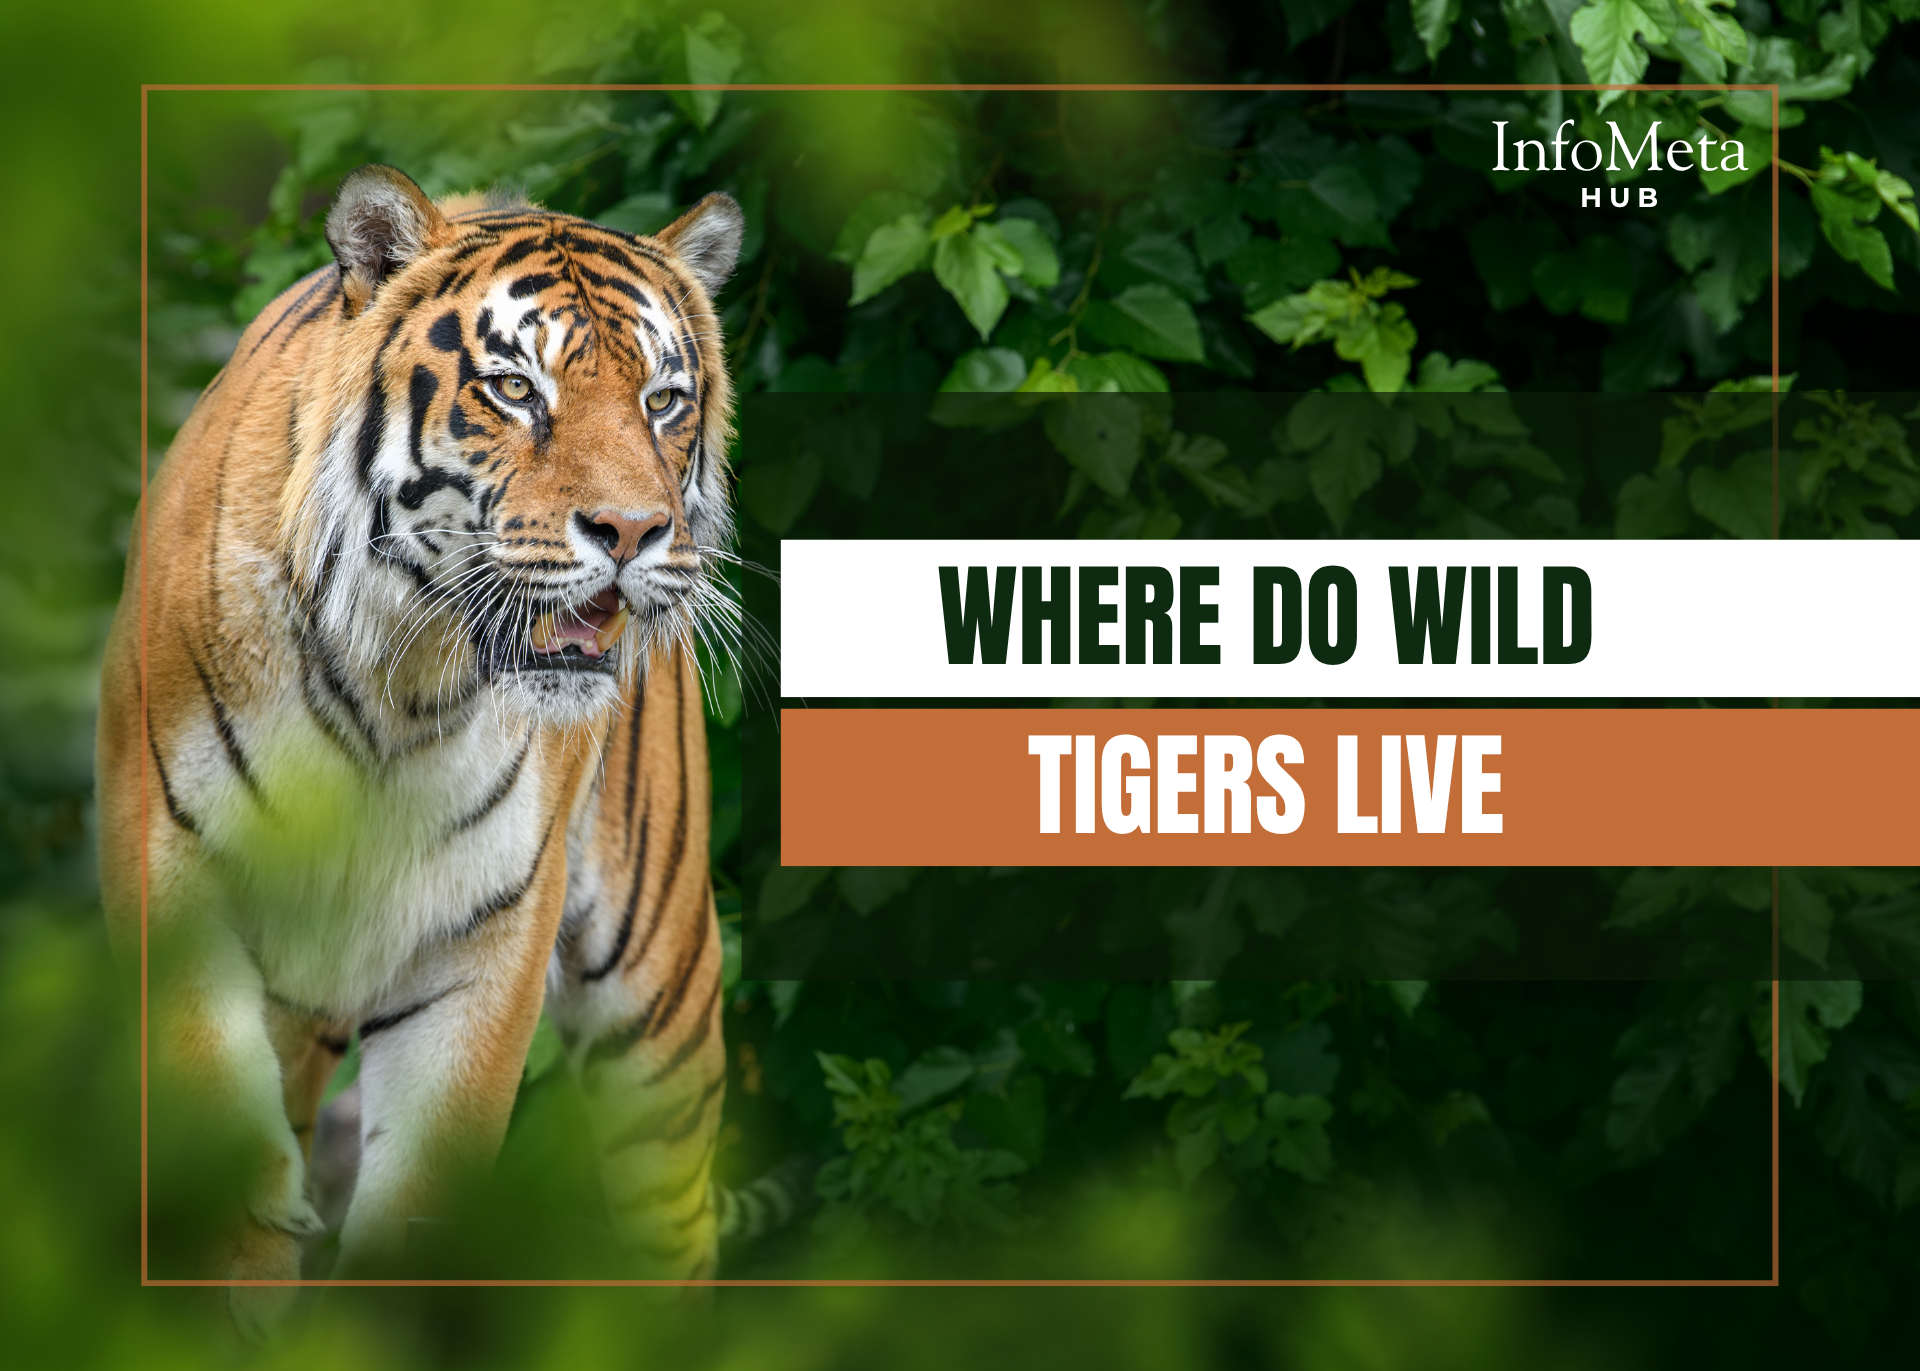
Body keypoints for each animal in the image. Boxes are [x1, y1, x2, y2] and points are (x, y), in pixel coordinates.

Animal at [98, 164, 750, 1327]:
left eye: (662, 401)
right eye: (516, 390)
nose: (634, 532)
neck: (398, 687)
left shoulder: (486, 937)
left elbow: (416, 1207)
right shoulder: (175, 885)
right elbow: (232, 1190)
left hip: (659, 997)